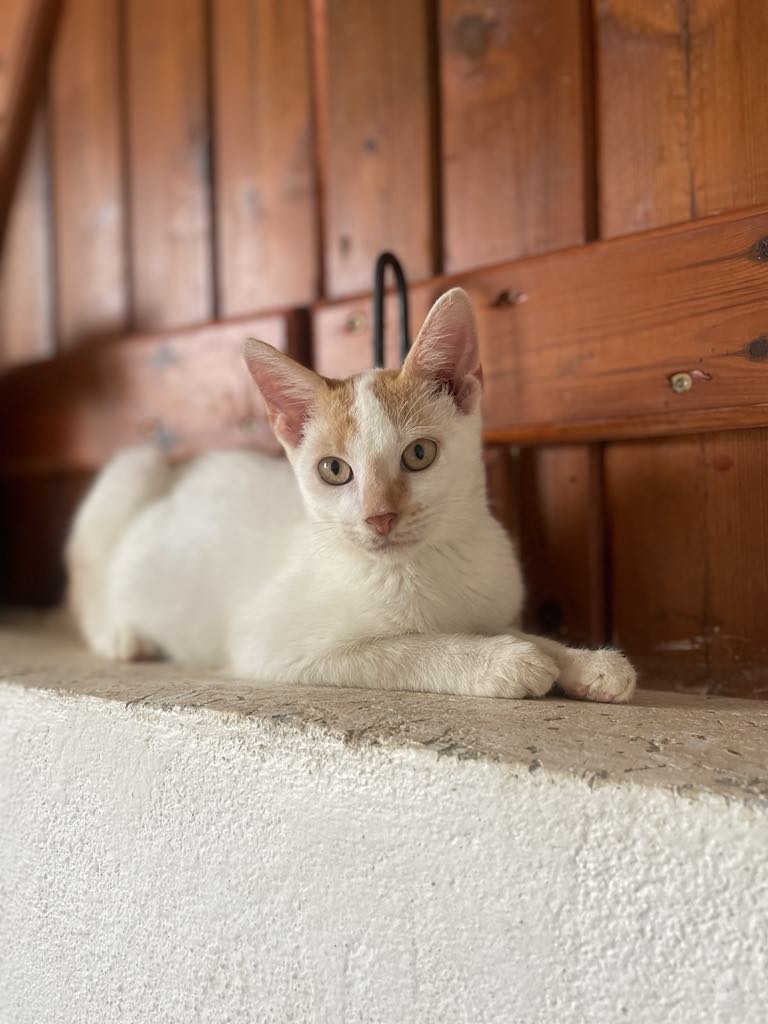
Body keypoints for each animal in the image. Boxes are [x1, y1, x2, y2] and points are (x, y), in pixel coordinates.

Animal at [69, 288, 638, 704]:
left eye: (419, 454)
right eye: (334, 470)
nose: (379, 517)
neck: (424, 566)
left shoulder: (489, 606)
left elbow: (513, 631)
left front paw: (584, 661)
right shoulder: (274, 643)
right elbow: (404, 650)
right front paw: (501, 660)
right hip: (134, 465)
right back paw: (122, 636)